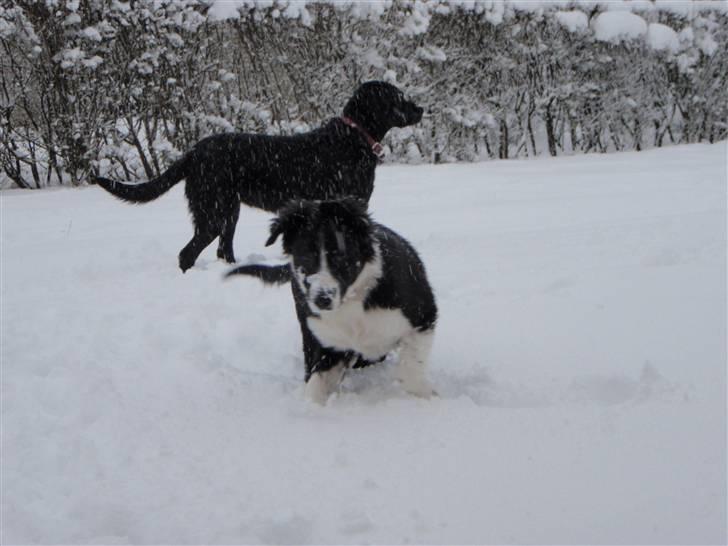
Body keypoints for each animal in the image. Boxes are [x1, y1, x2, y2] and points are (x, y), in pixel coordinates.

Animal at [94, 81, 424, 272]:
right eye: (399, 97)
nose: (421, 109)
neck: (352, 137)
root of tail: (195, 151)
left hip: (229, 212)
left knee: (222, 250)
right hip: (213, 213)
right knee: (187, 254)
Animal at [228, 198, 436, 402]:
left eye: (341, 257)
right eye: (306, 258)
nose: (322, 299)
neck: (354, 300)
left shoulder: (424, 316)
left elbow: (411, 366)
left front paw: (423, 397)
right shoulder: (328, 343)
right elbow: (316, 384)